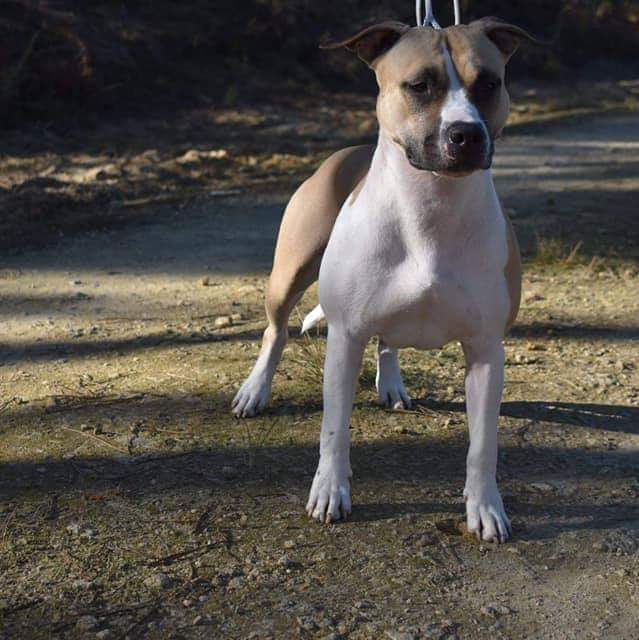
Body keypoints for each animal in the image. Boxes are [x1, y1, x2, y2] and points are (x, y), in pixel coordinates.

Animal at [232, 17, 532, 544]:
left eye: (489, 83)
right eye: (420, 85)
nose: (466, 134)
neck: (431, 205)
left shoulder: (485, 350)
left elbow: (483, 445)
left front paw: (485, 508)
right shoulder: (345, 336)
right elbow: (334, 430)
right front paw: (330, 492)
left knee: (387, 340)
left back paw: (390, 383)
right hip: (288, 274)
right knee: (276, 332)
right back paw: (255, 390)